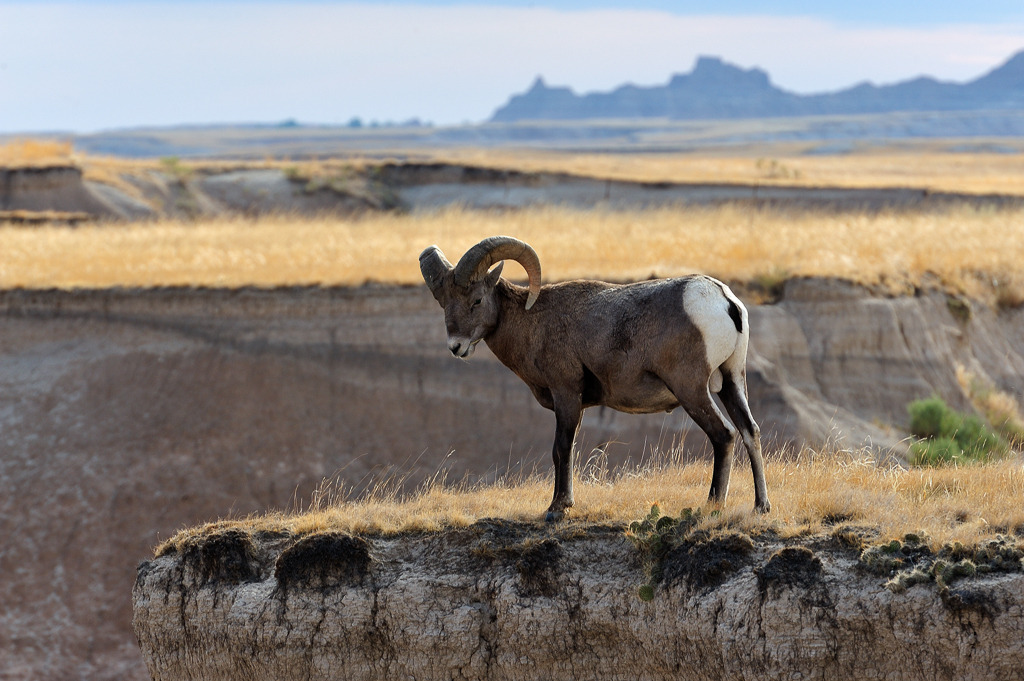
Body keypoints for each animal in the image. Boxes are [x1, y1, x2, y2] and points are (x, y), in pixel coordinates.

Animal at [419, 235, 770, 521]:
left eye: (477, 300)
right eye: (444, 302)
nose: (456, 347)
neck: (533, 323)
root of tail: (724, 301)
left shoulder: (566, 394)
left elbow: (561, 448)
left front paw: (557, 508)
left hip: (691, 389)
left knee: (724, 435)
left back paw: (712, 506)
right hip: (731, 381)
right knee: (749, 430)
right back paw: (761, 506)